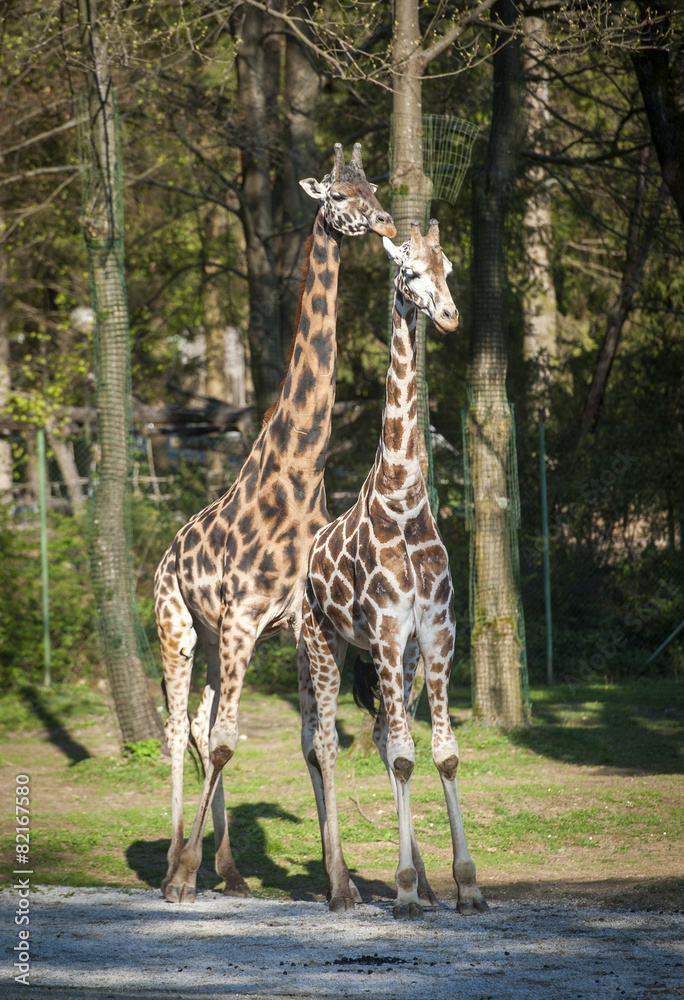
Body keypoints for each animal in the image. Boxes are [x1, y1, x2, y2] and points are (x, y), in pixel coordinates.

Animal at [154, 143, 396, 904]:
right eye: (340, 195)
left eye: (376, 187)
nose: (386, 223)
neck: (296, 476)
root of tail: (164, 554)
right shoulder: (240, 616)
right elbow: (229, 740)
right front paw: (183, 877)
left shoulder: (296, 624)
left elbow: (314, 742)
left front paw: (341, 883)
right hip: (177, 625)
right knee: (178, 727)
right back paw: (173, 863)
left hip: (212, 635)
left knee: (201, 722)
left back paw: (227, 870)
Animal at [301, 219, 488, 919]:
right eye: (408, 271)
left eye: (450, 266)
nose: (451, 316)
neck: (404, 499)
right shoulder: (382, 633)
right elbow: (409, 757)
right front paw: (404, 890)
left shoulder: (434, 634)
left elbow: (443, 755)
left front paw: (465, 885)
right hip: (322, 645)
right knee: (327, 744)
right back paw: (342, 887)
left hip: (396, 661)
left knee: (383, 737)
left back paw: (424, 883)